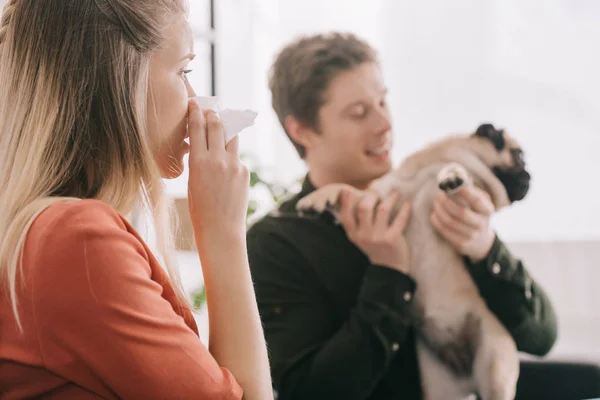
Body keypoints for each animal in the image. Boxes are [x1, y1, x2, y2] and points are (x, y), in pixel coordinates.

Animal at [296, 123, 528, 398]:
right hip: (440, 387)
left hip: (494, 366)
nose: (529, 177)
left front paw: (453, 175)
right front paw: (318, 198)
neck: (428, 170)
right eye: (520, 157)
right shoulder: (376, 201)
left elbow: (460, 175)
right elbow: (344, 189)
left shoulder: (467, 198)